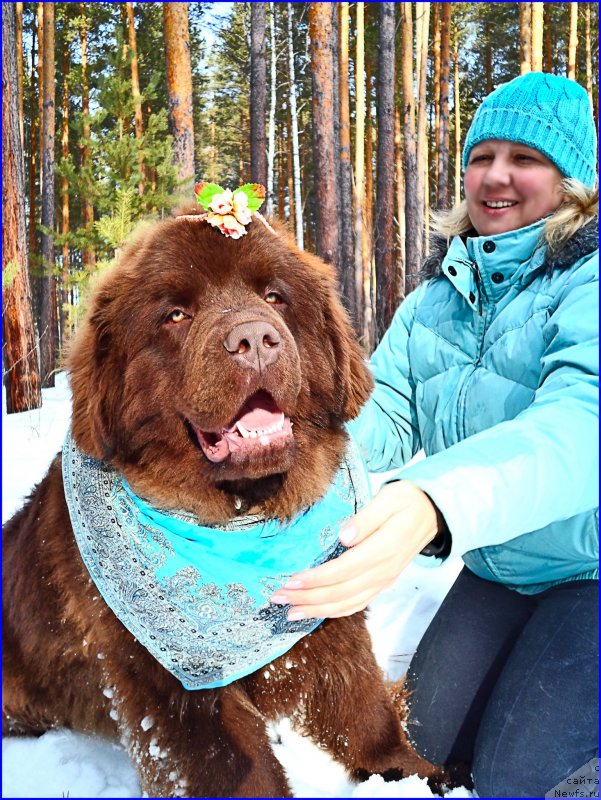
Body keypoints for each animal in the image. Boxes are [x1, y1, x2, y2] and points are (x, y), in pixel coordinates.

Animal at [2, 205, 442, 792]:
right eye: (176, 314)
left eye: (275, 296)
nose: (254, 339)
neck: (242, 516)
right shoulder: (171, 688)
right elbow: (242, 768)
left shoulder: (331, 626)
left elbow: (364, 713)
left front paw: (417, 772)